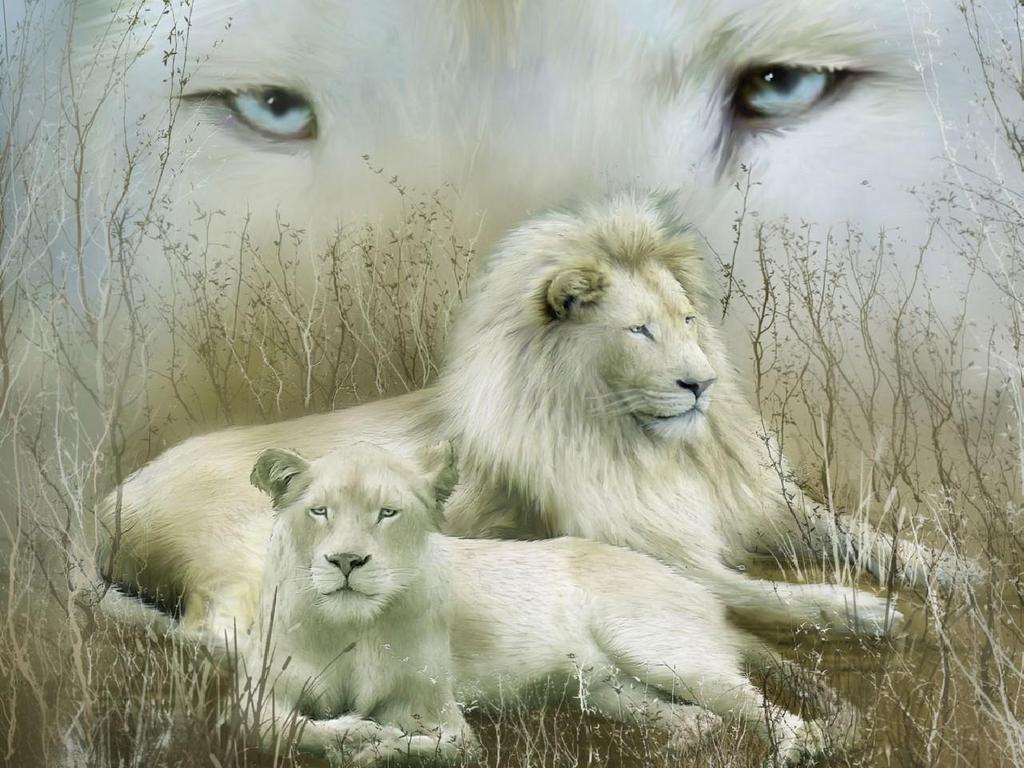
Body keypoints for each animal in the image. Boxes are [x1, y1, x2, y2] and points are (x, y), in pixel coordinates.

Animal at [246, 440, 846, 766]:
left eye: (387, 513)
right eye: (320, 511)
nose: (346, 561)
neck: (350, 628)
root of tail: (698, 591)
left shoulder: (441, 716)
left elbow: (440, 746)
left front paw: (374, 744)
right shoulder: (260, 696)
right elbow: (277, 727)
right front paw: (353, 735)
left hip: (665, 655)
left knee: (781, 716)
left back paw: (794, 752)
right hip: (609, 692)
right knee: (698, 720)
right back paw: (673, 748)